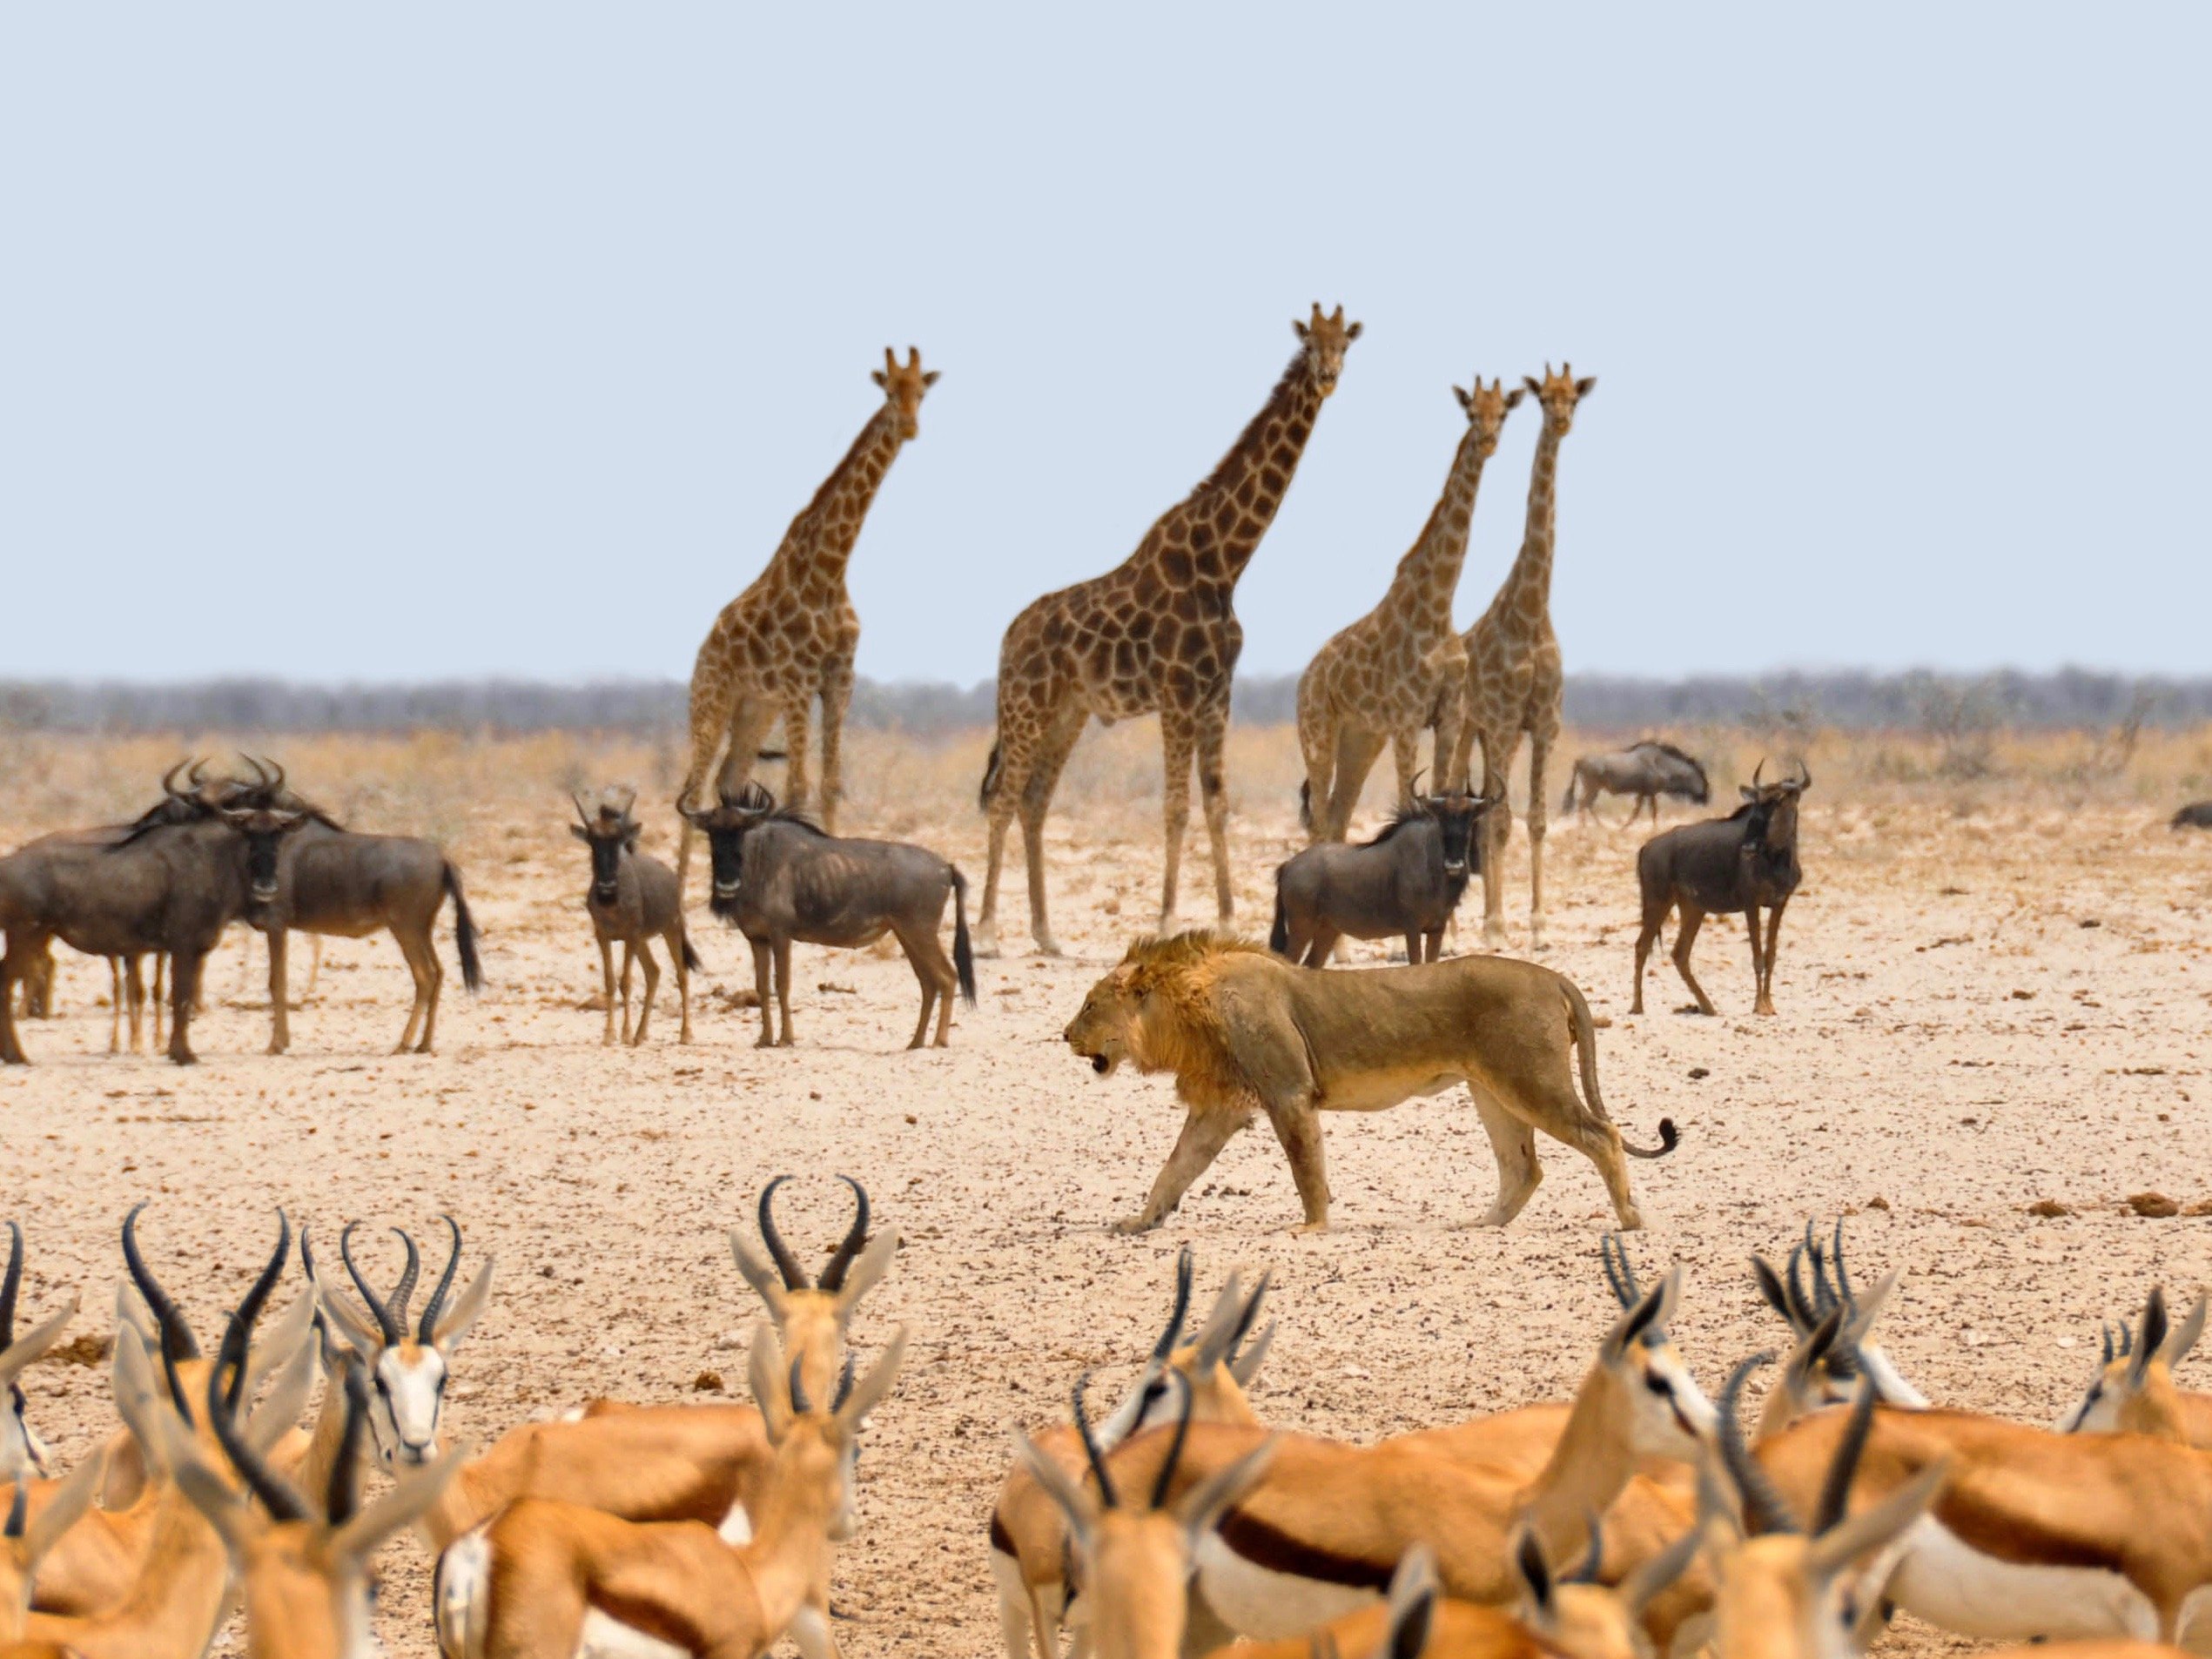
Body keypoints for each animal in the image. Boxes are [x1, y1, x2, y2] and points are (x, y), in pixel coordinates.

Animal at [672, 346, 933, 897]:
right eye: (888, 391)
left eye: (921, 390)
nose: (909, 426)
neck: (831, 569)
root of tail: (703, 651)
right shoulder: (797, 684)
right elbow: (798, 785)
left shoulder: (838, 680)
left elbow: (831, 783)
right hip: (712, 702)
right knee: (693, 787)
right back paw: (681, 893)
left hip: (754, 710)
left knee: (728, 782)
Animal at [978, 309, 1354, 959]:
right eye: (1309, 346)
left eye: (1344, 346)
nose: (1328, 377)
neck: (1225, 563)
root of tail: (1009, 638)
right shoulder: (1178, 694)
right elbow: (1176, 807)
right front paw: (1166, 920)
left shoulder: (1216, 694)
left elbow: (1218, 803)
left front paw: (1226, 920)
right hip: (1026, 705)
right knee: (1003, 798)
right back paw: (988, 933)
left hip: (1068, 712)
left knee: (1034, 801)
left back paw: (1046, 934)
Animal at [1057, 937, 1671, 1239]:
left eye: (1088, 1005)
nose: (1063, 1035)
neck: (1184, 1012)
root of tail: (1555, 977)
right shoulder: (1219, 1108)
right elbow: (1174, 1168)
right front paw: (1140, 1222)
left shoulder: (1289, 1093)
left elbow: (1307, 1168)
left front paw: (1312, 1228)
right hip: (1493, 1091)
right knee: (1524, 1167)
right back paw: (1482, 1225)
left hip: (1530, 1080)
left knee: (1603, 1135)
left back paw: (1629, 1218)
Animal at [1291, 376, 1522, 844]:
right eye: (1472, 412)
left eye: (1503, 412)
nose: (1488, 440)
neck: (1439, 607)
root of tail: (1304, 680)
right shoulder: (1407, 718)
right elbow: (1407, 798)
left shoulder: (1448, 716)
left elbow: (1442, 791)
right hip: (1319, 731)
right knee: (1320, 818)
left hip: (1361, 737)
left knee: (1338, 814)